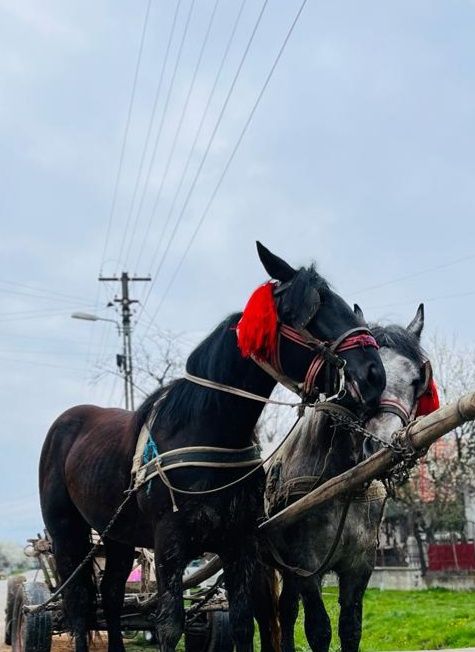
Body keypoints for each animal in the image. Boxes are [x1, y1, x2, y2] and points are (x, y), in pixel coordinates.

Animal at [39, 244, 384, 652]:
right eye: (311, 308)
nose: (374, 374)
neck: (205, 433)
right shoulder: (169, 546)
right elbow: (170, 626)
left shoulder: (240, 543)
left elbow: (241, 624)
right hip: (67, 533)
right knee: (78, 603)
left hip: (116, 535)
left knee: (109, 596)